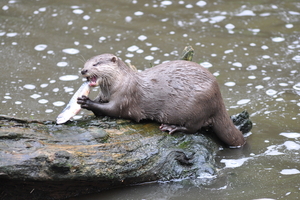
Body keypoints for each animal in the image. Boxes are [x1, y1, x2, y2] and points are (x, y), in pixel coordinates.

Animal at [77, 53, 246, 147]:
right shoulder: (104, 96)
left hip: (198, 105)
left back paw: (172, 127)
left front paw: (86, 102)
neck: (120, 83)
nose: (83, 70)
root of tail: (218, 98)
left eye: (96, 64)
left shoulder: (125, 97)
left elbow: (112, 110)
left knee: (193, 128)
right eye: (85, 63)